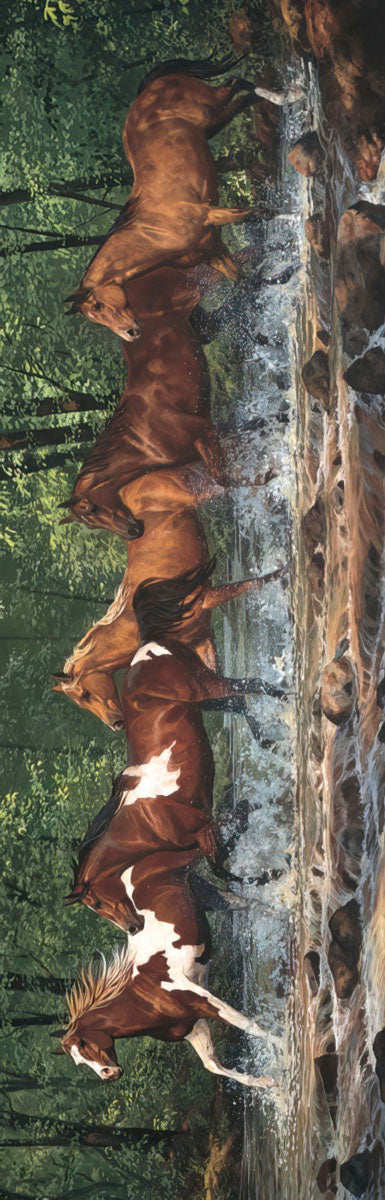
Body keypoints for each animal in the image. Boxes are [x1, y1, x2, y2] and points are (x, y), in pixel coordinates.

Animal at [52, 525, 283, 729]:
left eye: (85, 694)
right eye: (82, 701)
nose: (116, 724)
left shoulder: (206, 602)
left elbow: (250, 584)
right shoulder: (202, 645)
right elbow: (233, 698)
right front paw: (265, 736)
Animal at [62, 54, 262, 338]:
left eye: (98, 306)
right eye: (96, 317)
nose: (130, 333)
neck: (154, 231)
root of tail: (150, 87)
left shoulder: (212, 215)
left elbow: (258, 215)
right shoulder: (212, 251)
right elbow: (244, 280)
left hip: (213, 108)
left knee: (237, 85)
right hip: (213, 123)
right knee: (240, 95)